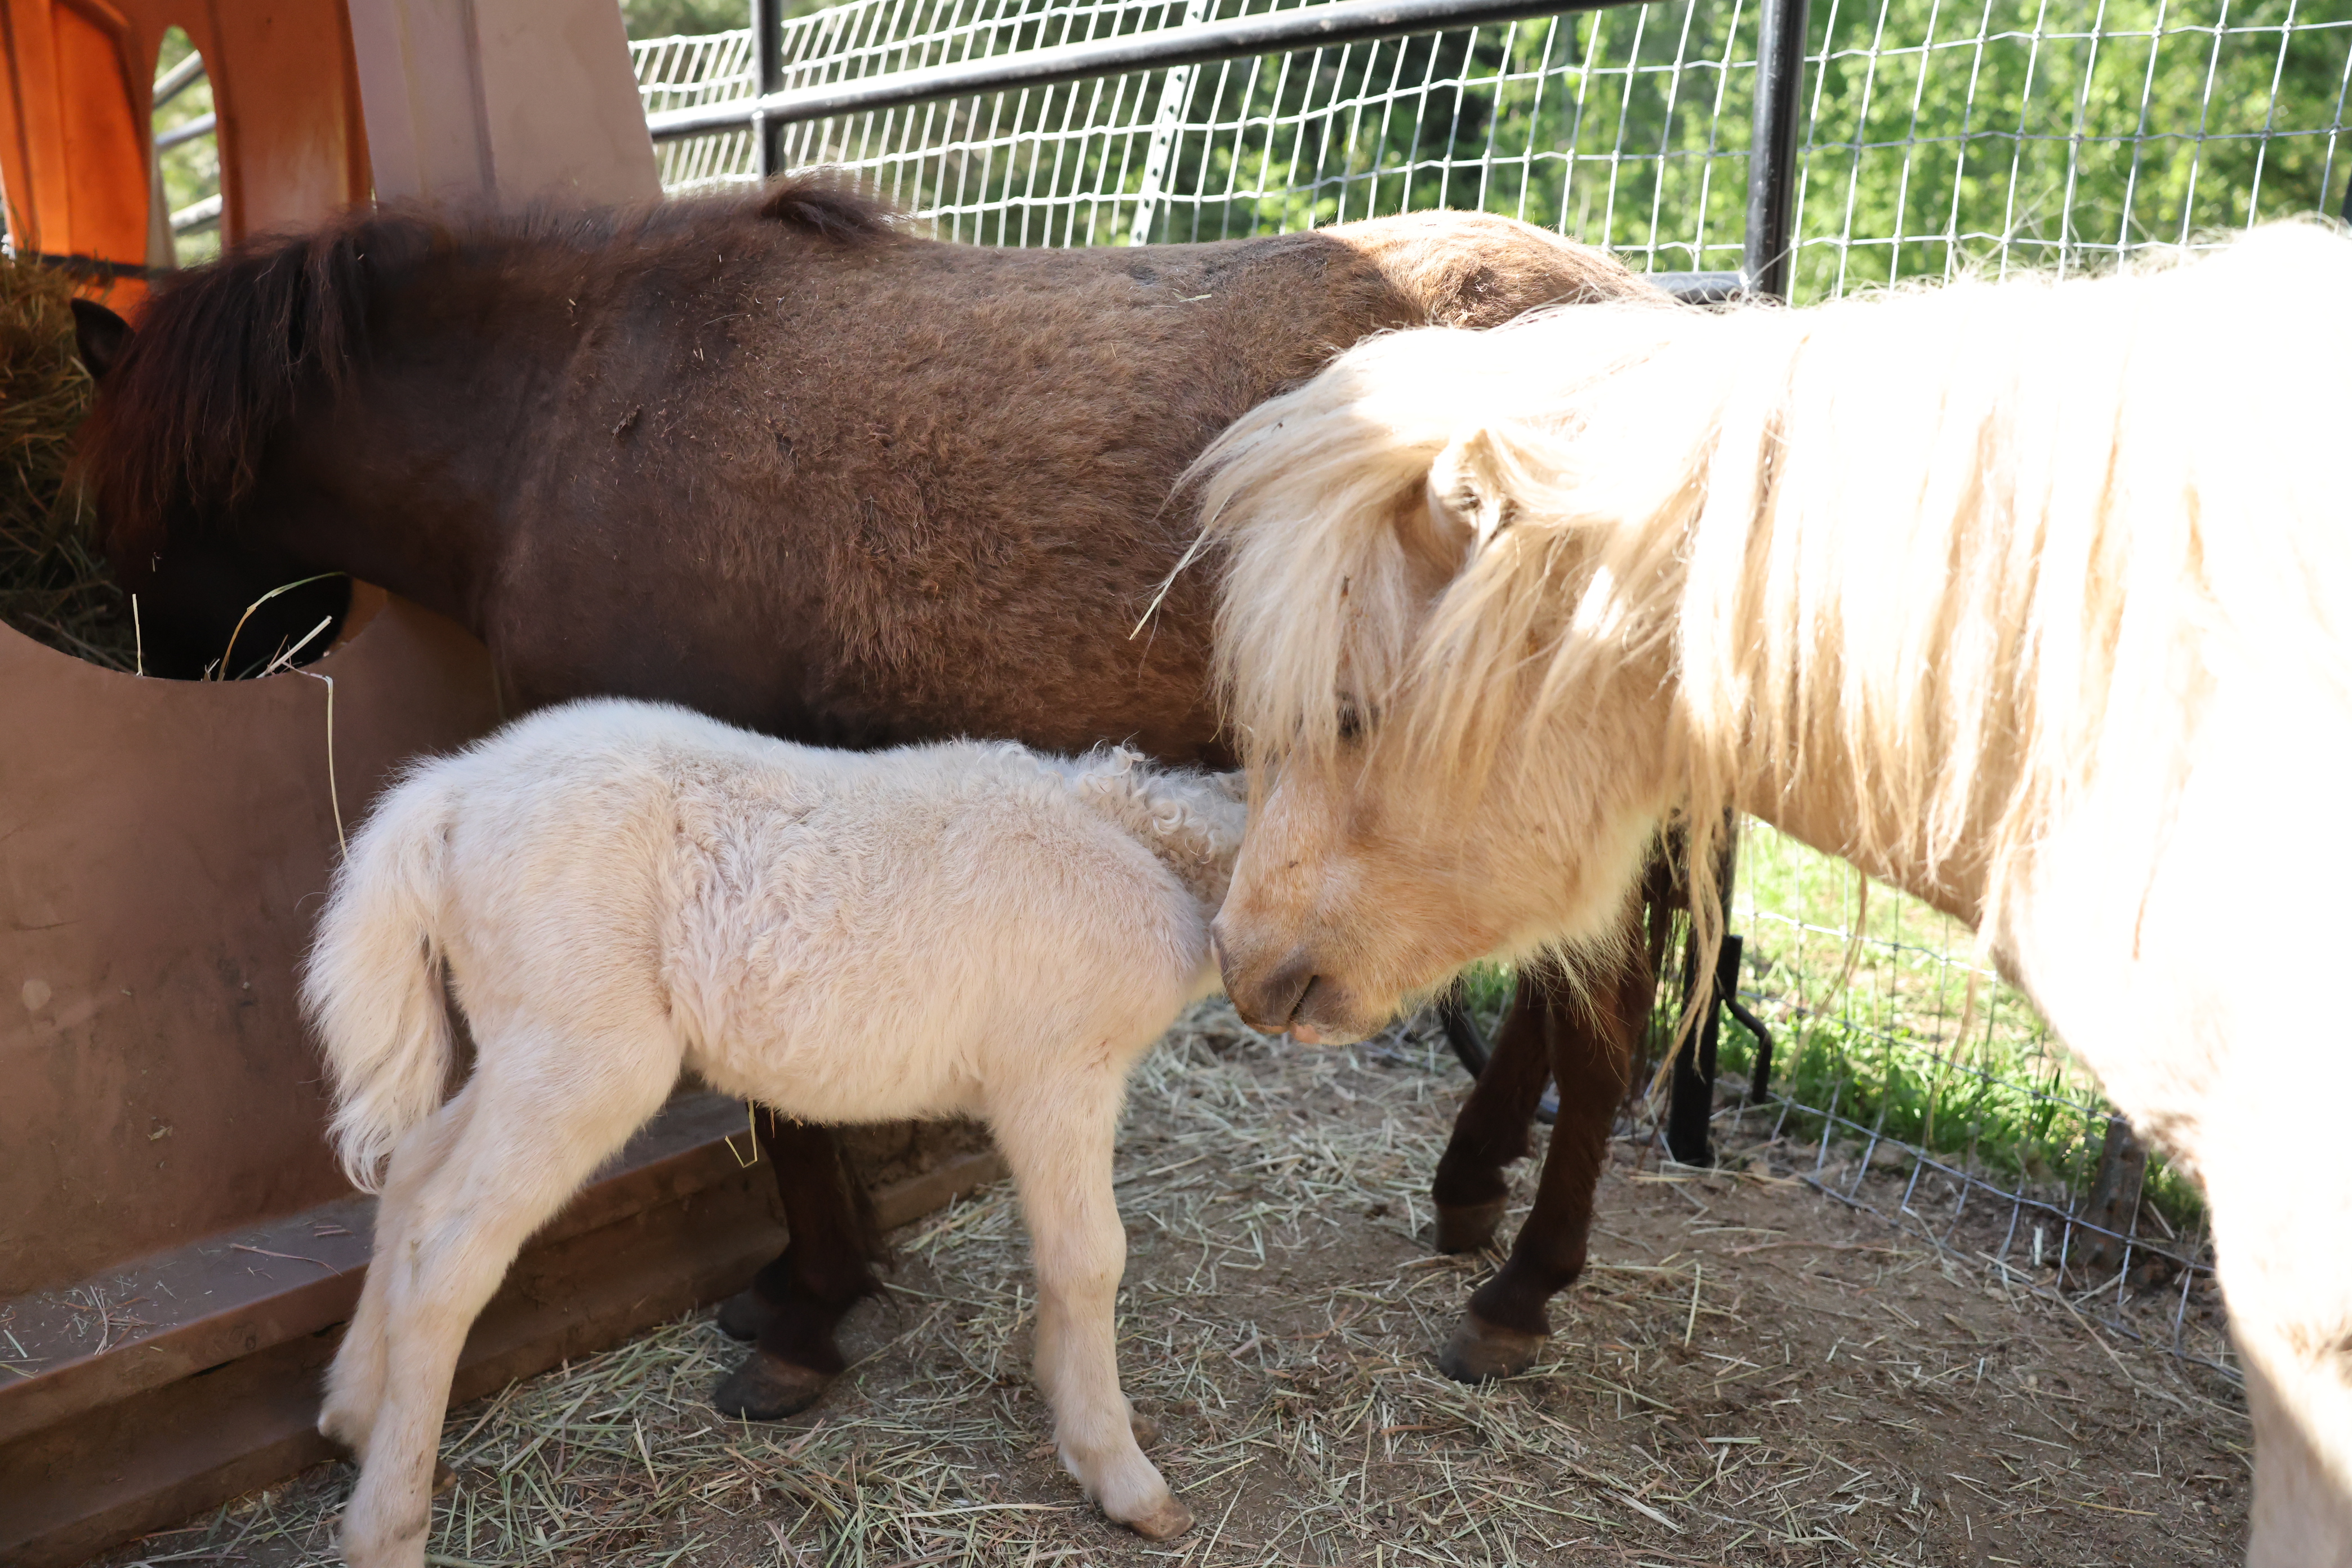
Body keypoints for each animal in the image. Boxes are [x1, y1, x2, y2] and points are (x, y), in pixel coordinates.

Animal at [68, 174, 1664, 1422]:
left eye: (125, 515)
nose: (146, 674)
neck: (574, 403)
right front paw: (807, 1282)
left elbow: (784, 1101)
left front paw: (808, 1313)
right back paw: (1470, 1187)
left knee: (1604, 1017)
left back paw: (1519, 1291)